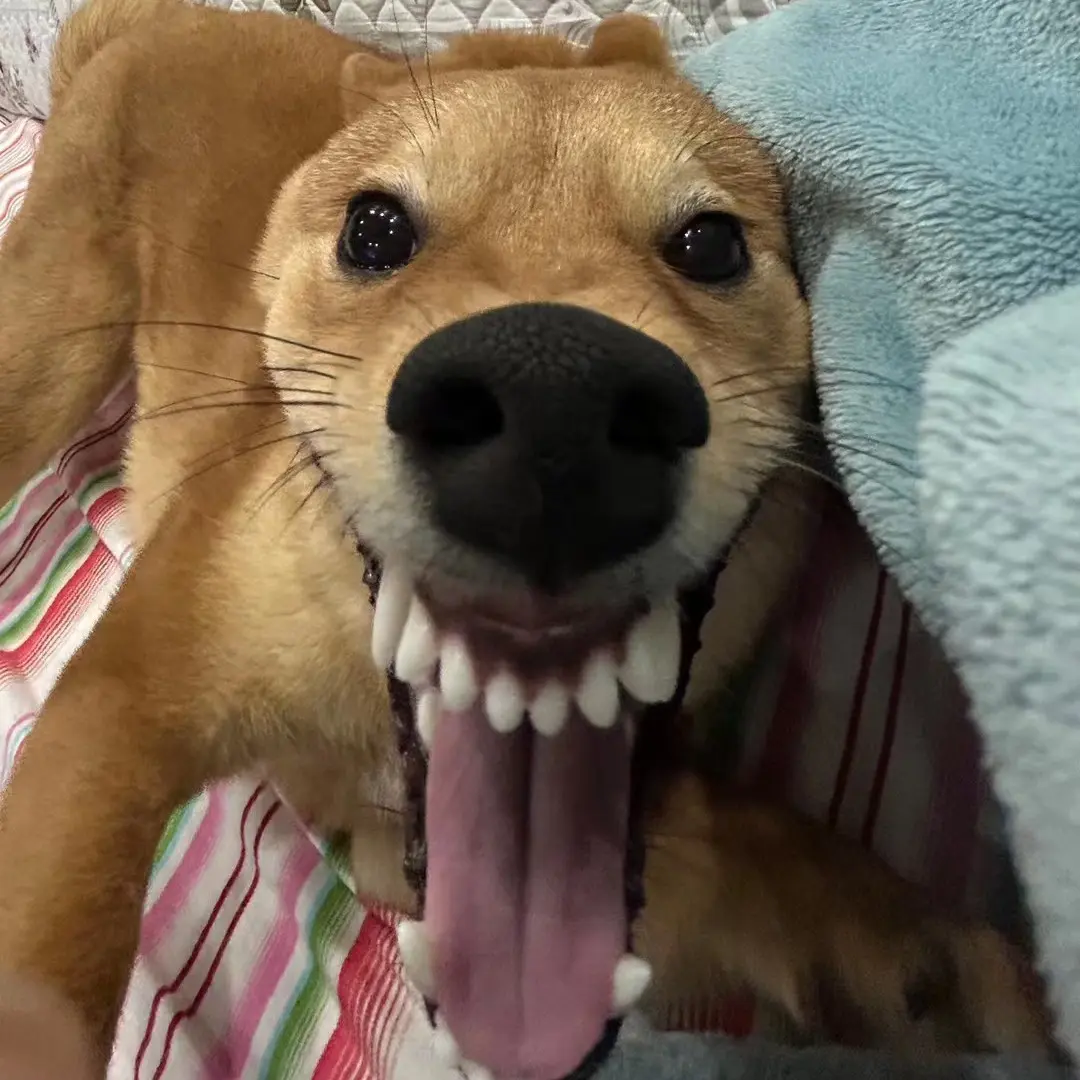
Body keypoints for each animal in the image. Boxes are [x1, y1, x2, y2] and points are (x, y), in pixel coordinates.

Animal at [0, 1, 1056, 1077]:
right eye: (373, 230)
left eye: (711, 244)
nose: (555, 402)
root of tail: (163, 19)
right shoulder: (121, 708)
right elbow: (49, 945)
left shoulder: (413, 854)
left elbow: (741, 841)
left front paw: (896, 942)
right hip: (41, 361)